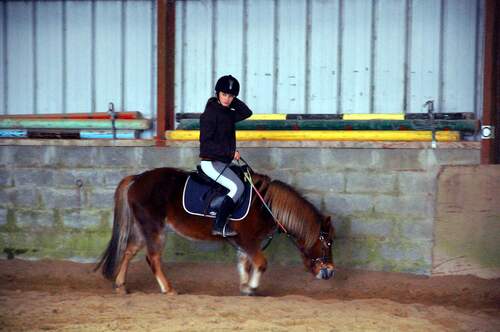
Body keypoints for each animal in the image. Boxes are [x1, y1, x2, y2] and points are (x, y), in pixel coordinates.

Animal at [94, 167, 336, 294]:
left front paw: (244, 285)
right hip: (154, 228)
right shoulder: (248, 240)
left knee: (129, 250)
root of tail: (137, 179)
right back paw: (168, 289)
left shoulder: (244, 242)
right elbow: (260, 263)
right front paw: (252, 287)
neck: (264, 205)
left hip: (141, 227)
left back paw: (121, 285)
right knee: (152, 257)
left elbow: (244, 263)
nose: (330, 272)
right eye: (328, 242)